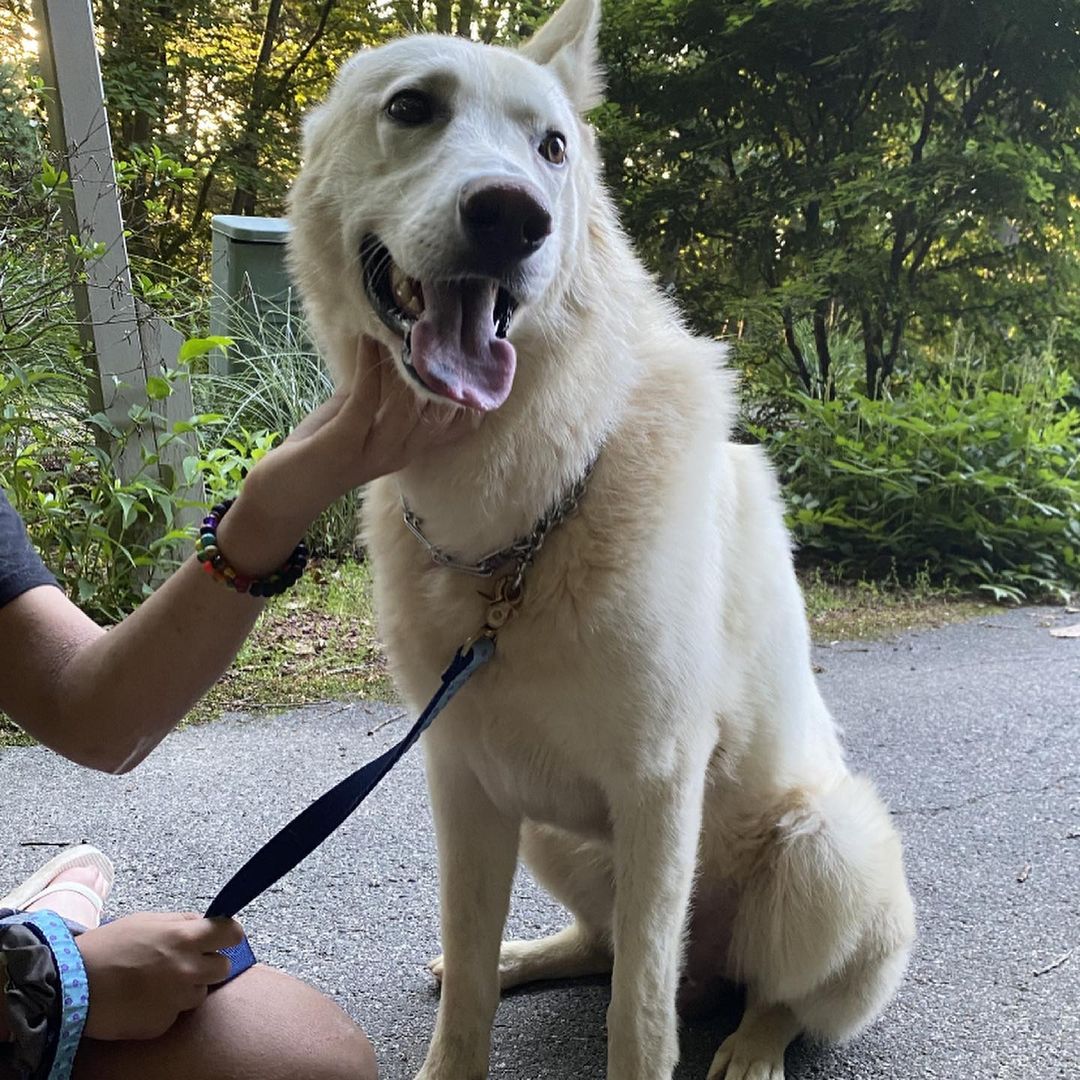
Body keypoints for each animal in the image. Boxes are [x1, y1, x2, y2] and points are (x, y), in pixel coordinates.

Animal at [287, 2, 911, 1080]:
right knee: (597, 945)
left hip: (828, 849)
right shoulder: (465, 782)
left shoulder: (660, 786)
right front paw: (462, 1030)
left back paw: (752, 1044)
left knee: (763, 992)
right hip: (556, 835)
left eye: (553, 149)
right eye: (411, 108)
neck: (521, 521)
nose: (513, 218)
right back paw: (531, 956)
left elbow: (641, 1013)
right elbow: (472, 969)